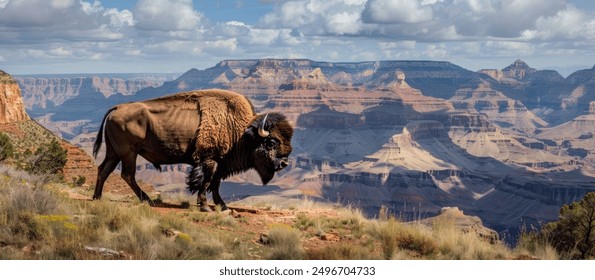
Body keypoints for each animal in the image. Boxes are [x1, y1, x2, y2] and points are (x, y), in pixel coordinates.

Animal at [92, 89, 294, 210]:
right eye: (271, 142)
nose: (284, 163)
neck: (240, 131)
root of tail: (117, 108)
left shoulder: (220, 164)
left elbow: (215, 185)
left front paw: (222, 207)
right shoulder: (209, 160)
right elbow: (206, 182)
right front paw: (205, 206)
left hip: (114, 153)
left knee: (104, 170)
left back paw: (97, 197)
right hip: (128, 153)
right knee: (127, 175)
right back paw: (147, 200)